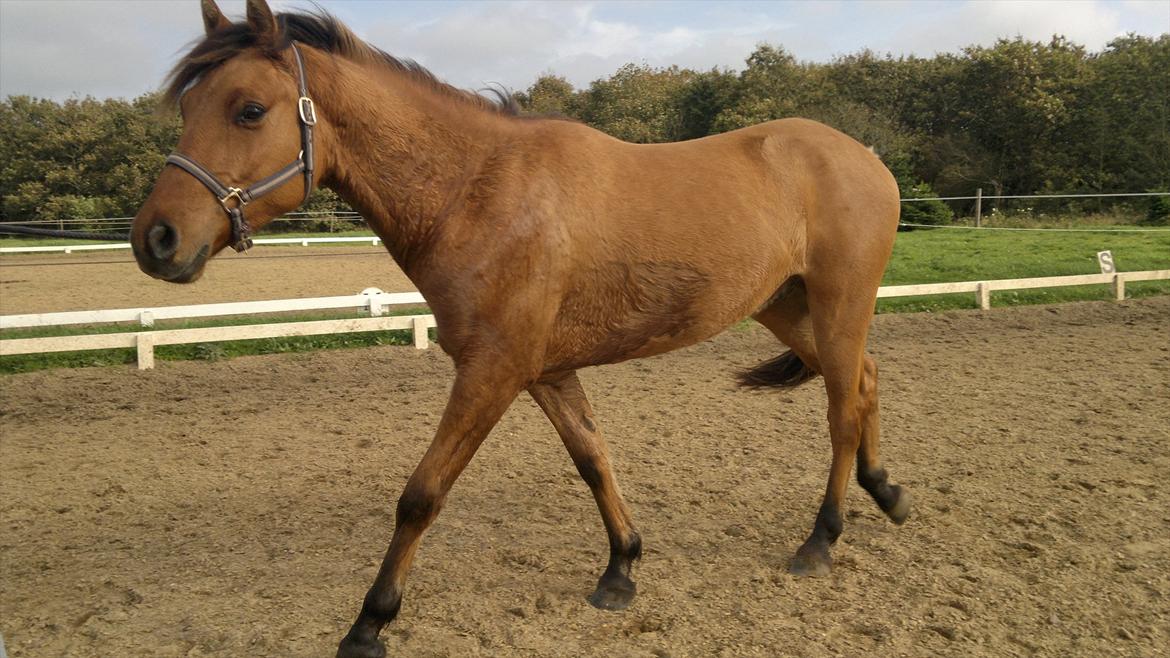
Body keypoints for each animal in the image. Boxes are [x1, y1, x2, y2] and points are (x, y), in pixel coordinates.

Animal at [131, 1, 911, 656]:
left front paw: (370, 623)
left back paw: (821, 540)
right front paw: (620, 569)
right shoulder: (545, 372)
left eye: (249, 110)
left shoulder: (492, 372)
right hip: (787, 308)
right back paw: (887, 492)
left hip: (838, 306)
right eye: (189, 104)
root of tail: (866, 156)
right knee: (867, 381)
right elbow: (593, 459)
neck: (477, 191)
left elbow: (422, 495)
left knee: (843, 410)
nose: (156, 240)